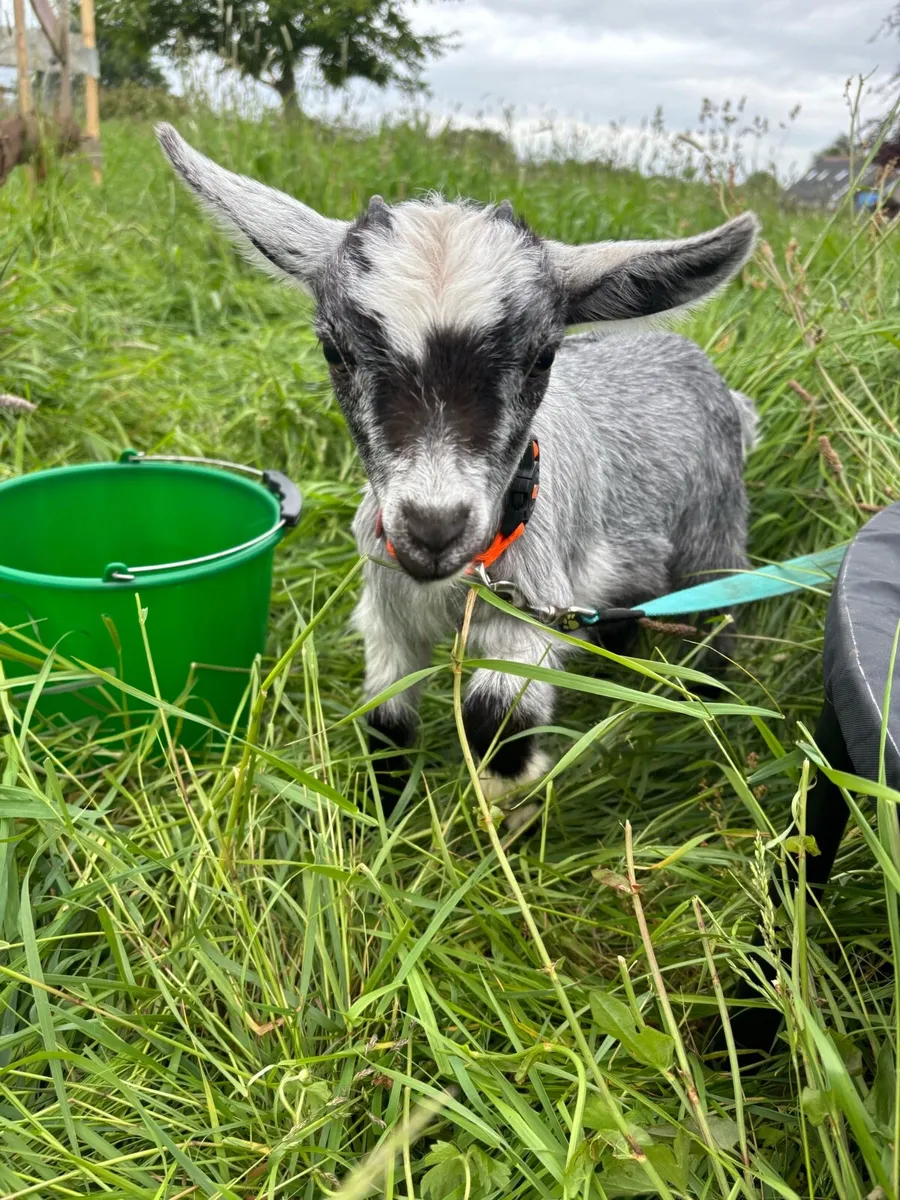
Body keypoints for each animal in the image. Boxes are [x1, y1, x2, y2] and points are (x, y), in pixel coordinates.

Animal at [156, 123, 759, 811]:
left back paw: (714, 716)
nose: (433, 528)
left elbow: (495, 722)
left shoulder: (528, 621)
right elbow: (386, 722)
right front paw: (382, 814)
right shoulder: (388, 619)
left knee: (720, 622)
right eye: (334, 350)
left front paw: (509, 806)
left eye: (543, 357)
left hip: (714, 534)